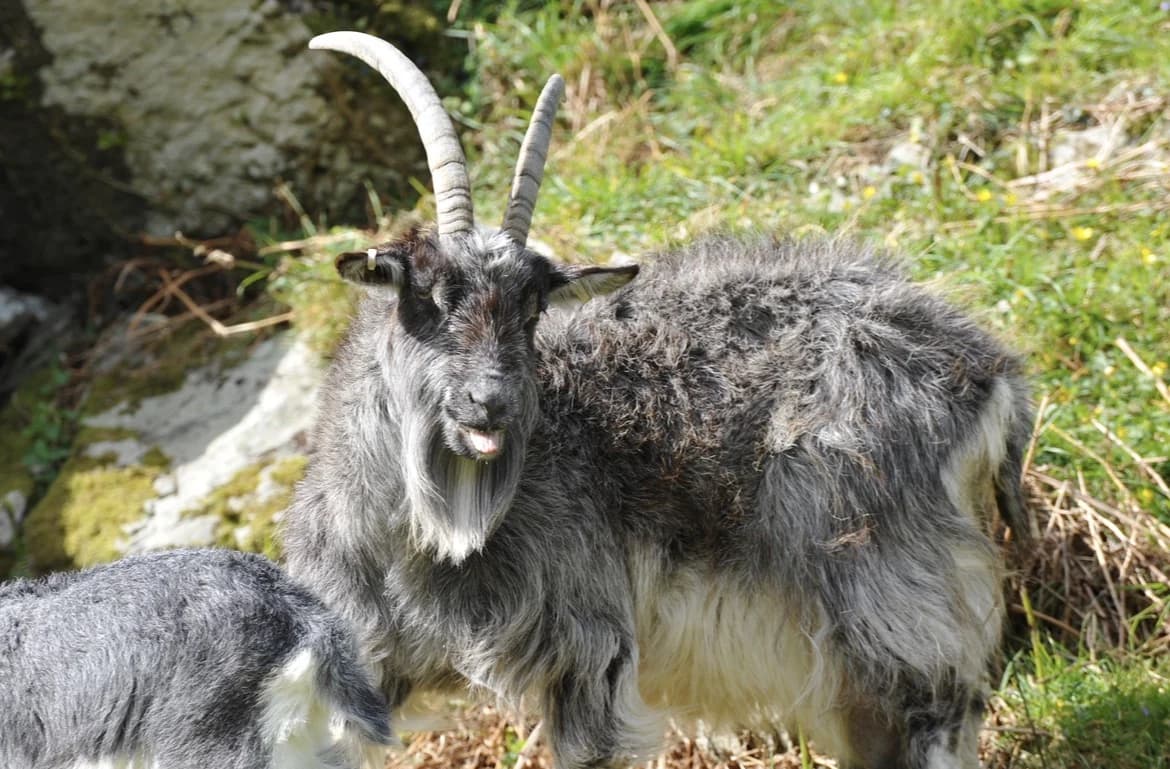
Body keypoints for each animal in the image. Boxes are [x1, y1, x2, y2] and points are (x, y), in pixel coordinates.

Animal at [282, 31, 1032, 769]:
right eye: (429, 298)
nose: (491, 404)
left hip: (895, 592)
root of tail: (986, 366)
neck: (419, 545)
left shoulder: (587, 645)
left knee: (935, 712)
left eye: (532, 309)